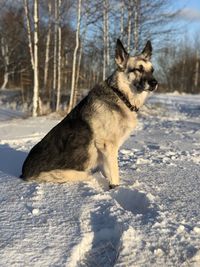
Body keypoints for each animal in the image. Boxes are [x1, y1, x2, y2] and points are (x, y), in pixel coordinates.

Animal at [20, 39, 158, 188]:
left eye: (152, 70)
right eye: (139, 69)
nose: (155, 83)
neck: (121, 95)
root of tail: (23, 173)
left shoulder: (106, 153)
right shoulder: (109, 147)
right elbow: (115, 175)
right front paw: (115, 188)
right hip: (74, 174)